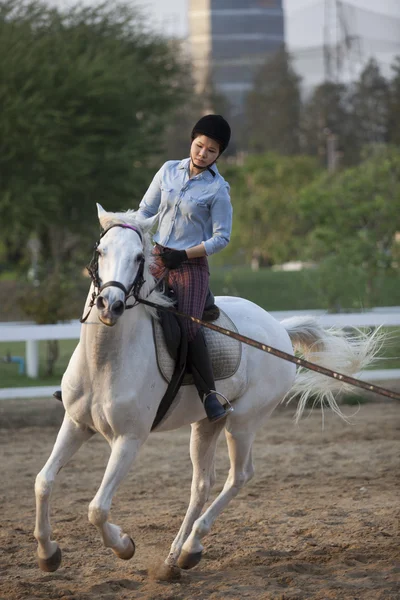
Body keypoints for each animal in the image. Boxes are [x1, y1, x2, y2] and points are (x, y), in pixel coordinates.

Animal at [35, 205, 382, 576]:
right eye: (101, 252)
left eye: (139, 257)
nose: (108, 305)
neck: (105, 360)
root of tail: (279, 329)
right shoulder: (76, 424)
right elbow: (43, 482)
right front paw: (48, 554)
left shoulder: (129, 440)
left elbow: (97, 508)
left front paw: (124, 545)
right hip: (206, 424)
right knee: (202, 484)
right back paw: (176, 558)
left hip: (242, 423)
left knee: (240, 475)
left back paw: (190, 547)